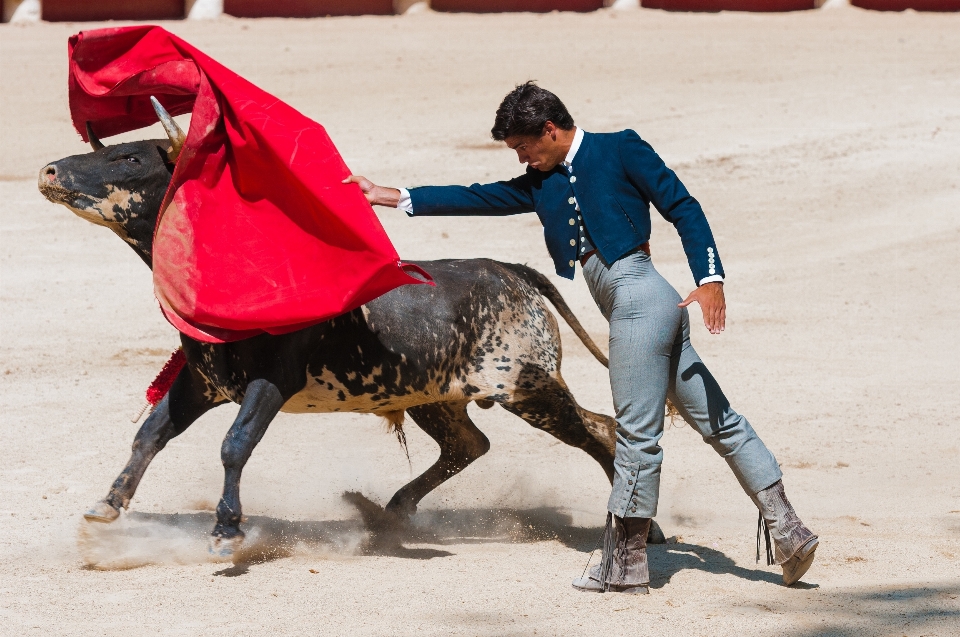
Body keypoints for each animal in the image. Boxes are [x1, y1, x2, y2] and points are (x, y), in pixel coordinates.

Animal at [39, 102, 668, 556]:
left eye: (131, 160)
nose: (48, 170)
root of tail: (507, 270)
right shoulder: (202, 381)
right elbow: (151, 434)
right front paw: (105, 508)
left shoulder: (270, 383)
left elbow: (233, 444)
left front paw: (225, 533)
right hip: (435, 395)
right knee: (471, 443)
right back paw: (388, 513)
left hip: (527, 385)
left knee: (598, 430)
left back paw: (645, 530)